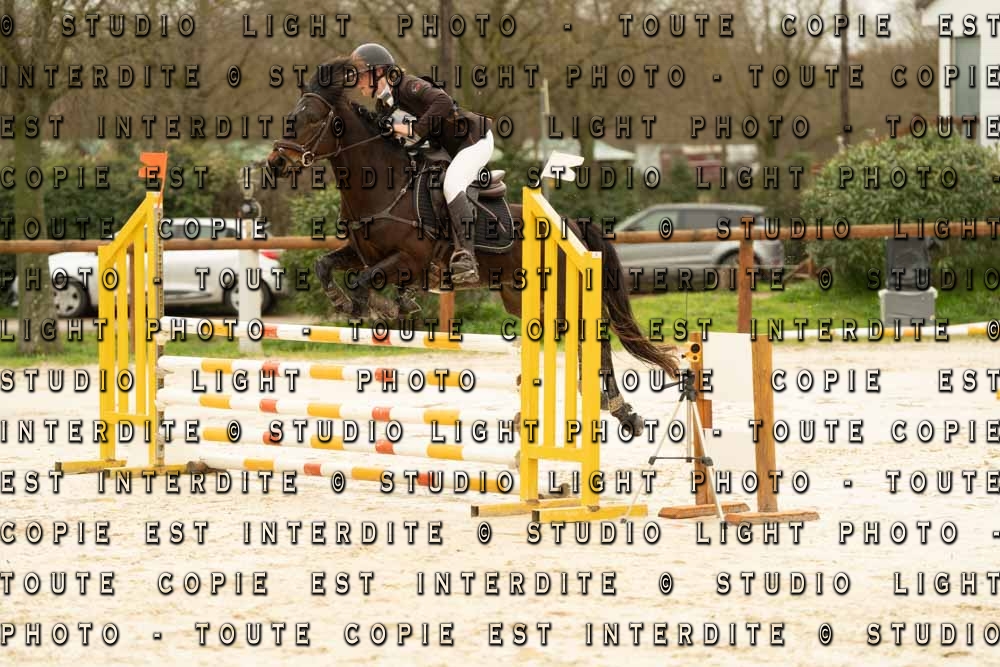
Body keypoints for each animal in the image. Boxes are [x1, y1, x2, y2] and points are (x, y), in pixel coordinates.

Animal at [264, 56, 678, 435]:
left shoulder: (409, 261)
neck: (382, 185)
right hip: (523, 297)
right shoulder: (362, 253)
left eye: (311, 119)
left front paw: (381, 308)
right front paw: (350, 303)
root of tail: (572, 224)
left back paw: (620, 408)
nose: (274, 164)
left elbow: (364, 281)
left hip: (563, 291)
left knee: (596, 333)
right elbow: (325, 266)